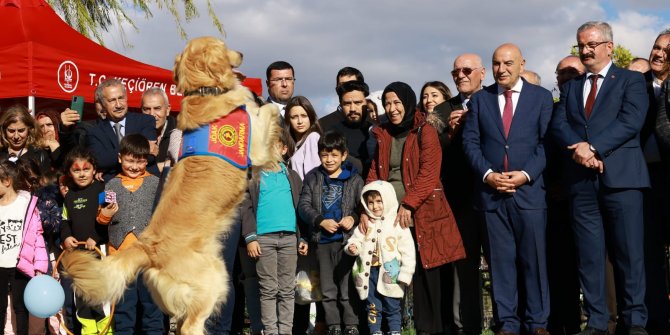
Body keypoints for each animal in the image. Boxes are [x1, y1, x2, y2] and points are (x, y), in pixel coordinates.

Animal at [61, 36, 284, 335]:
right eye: (223, 44)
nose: (241, 53)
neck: (205, 90)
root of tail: (148, 250)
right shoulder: (255, 146)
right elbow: (267, 109)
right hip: (214, 278)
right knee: (190, 325)